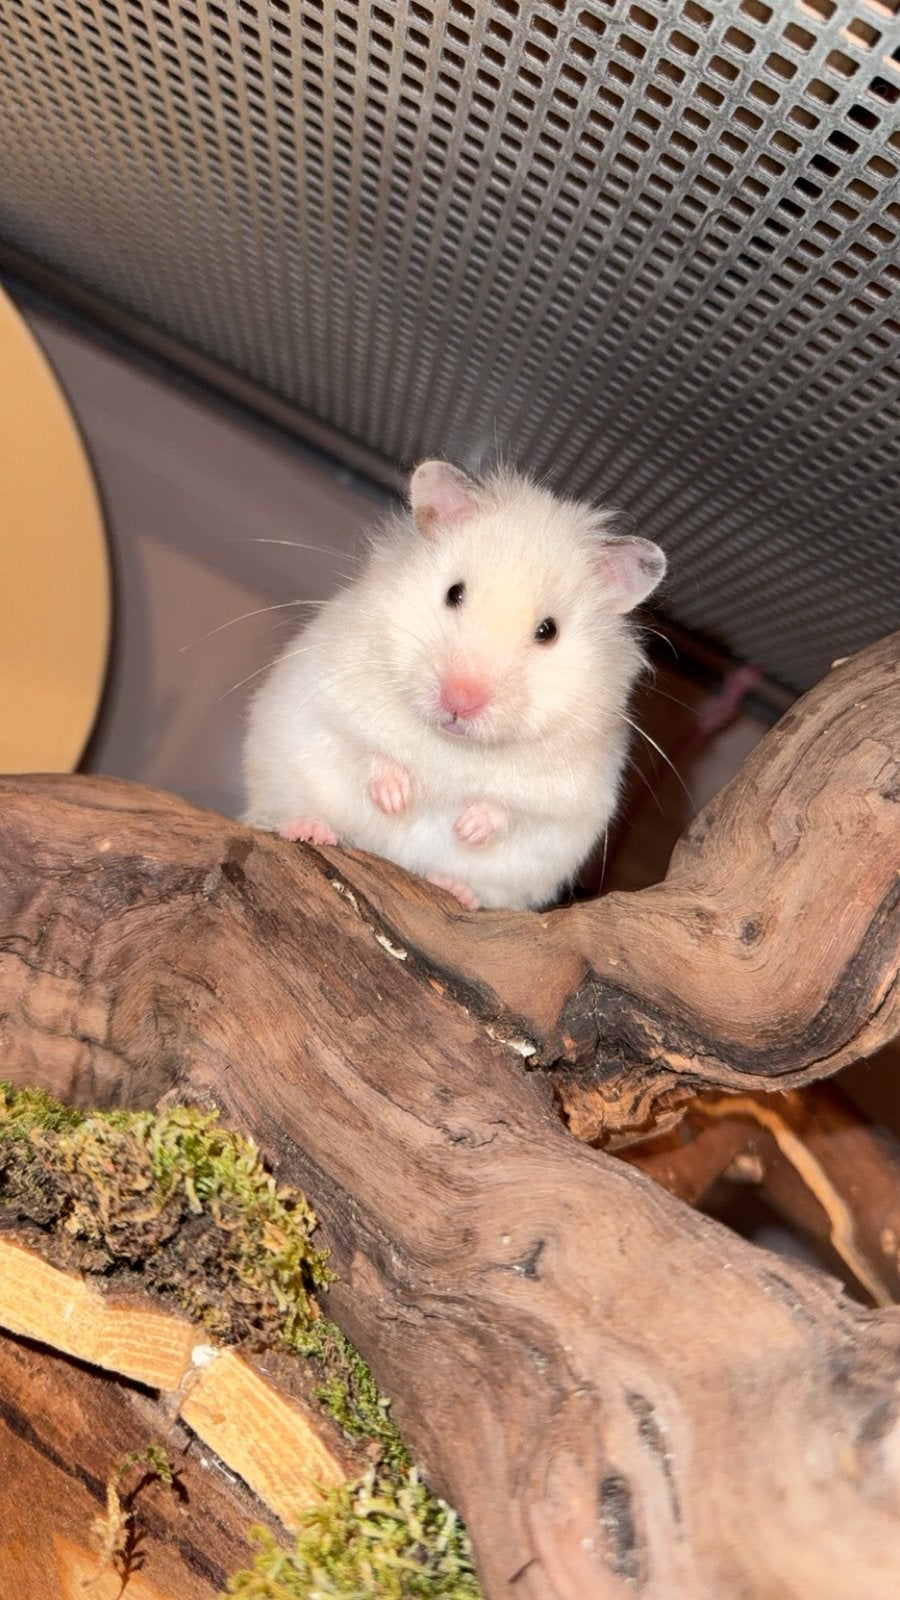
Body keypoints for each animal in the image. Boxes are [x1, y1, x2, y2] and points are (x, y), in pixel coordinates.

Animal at [242, 460, 666, 910]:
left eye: (548, 631)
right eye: (454, 593)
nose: (460, 700)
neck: (450, 745)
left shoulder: (568, 799)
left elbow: (508, 810)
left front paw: (467, 827)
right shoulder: (330, 695)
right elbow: (366, 751)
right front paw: (398, 799)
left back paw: (455, 888)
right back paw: (308, 829)